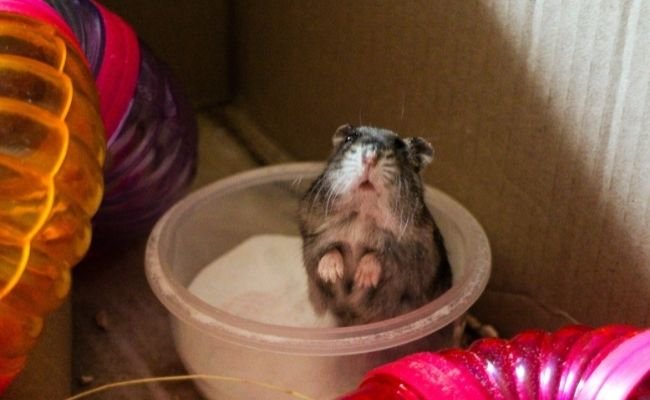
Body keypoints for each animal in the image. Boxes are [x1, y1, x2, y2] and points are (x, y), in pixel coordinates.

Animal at [296, 124, 448, 324]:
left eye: (399, 145)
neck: (363, 214)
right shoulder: (314, 238)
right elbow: (330, 251)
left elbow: (376, 255)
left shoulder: (409, 258)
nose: (370, 158)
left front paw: (363, 279)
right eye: (350, 138)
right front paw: (331, 274)